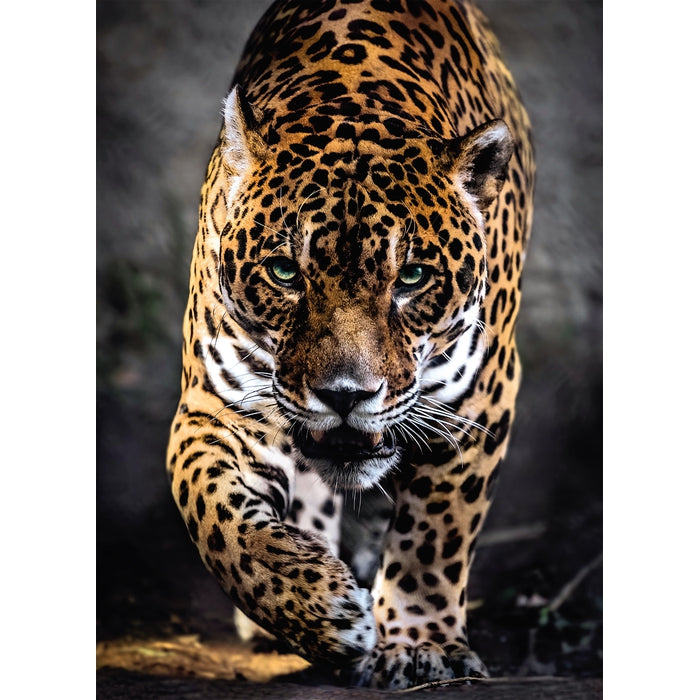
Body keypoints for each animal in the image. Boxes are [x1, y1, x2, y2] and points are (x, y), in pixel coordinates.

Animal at [166, 0, 535, 689]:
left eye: (412, 277)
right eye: (285, 272)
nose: (345, 395)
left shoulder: (477, 402)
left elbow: (434, 535)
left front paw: (420, 646)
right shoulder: (216, 405)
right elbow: (215, 515)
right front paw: (317, 609)